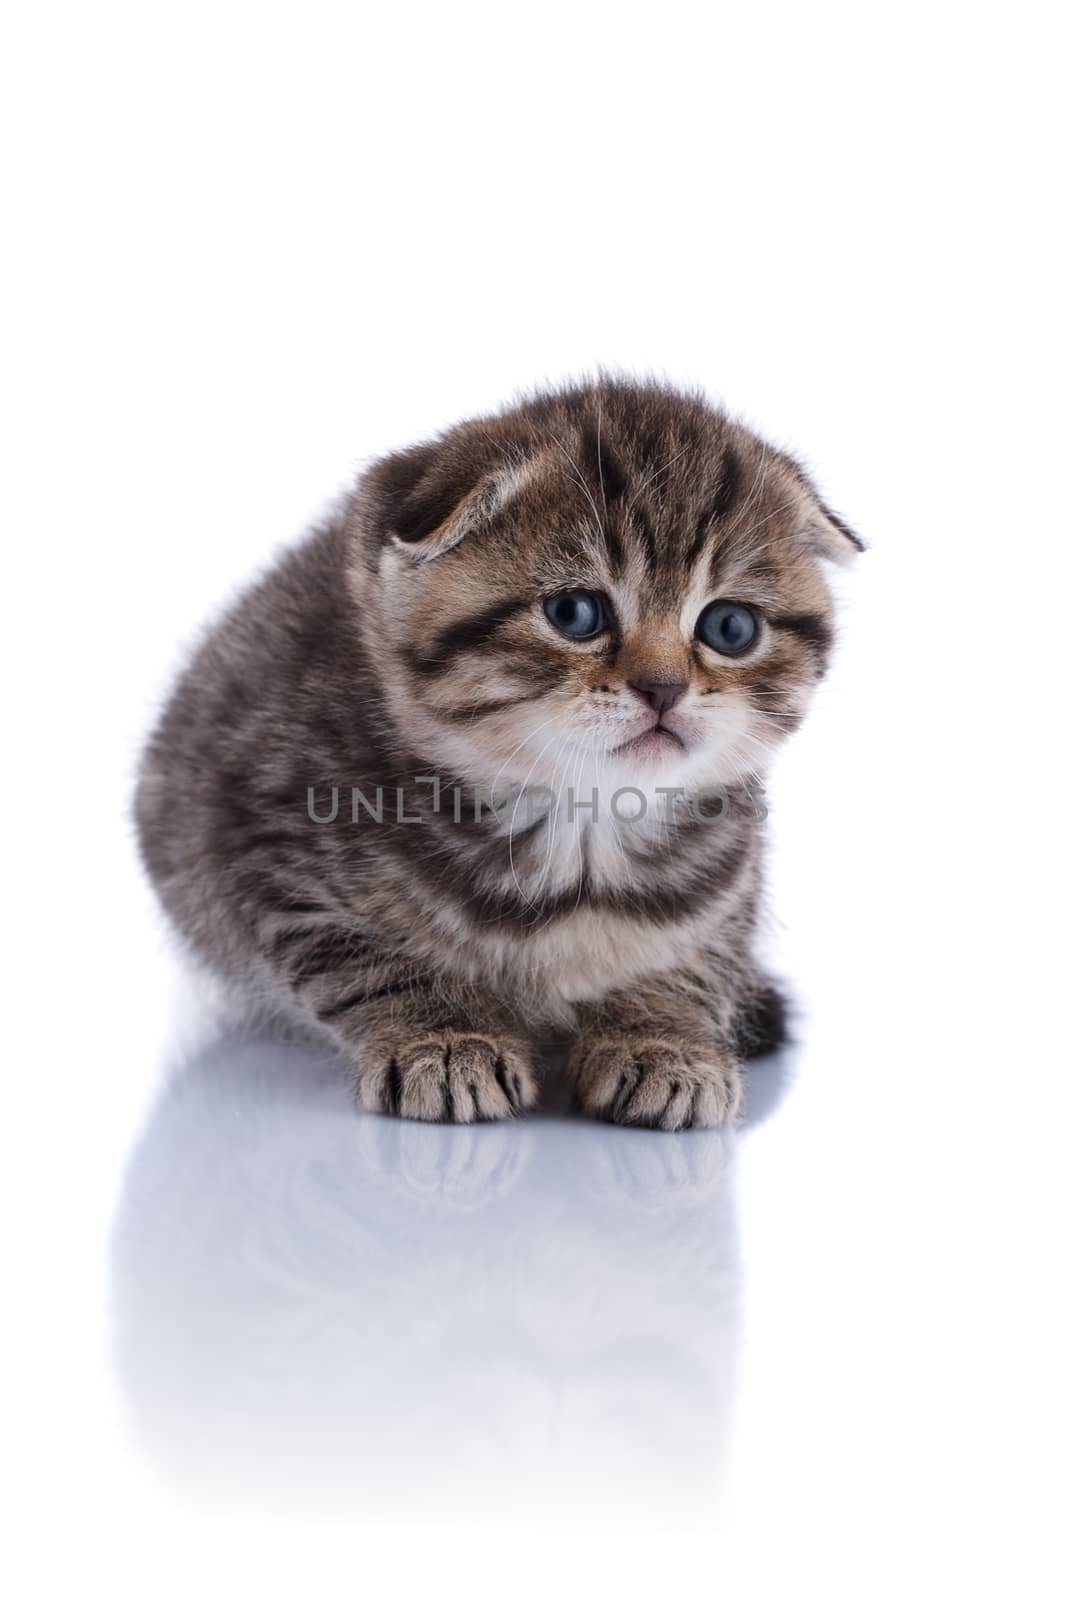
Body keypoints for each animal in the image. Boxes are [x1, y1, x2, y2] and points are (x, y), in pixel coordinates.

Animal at [137, 376, 863, 1132]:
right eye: (575, 613)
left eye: (729, 627)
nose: (663, 688)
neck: (581, 829)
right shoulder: (268, 850)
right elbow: (365, 961)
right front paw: (445, 1037)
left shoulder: (731, 887)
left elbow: (696, 964)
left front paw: (663, 1038)